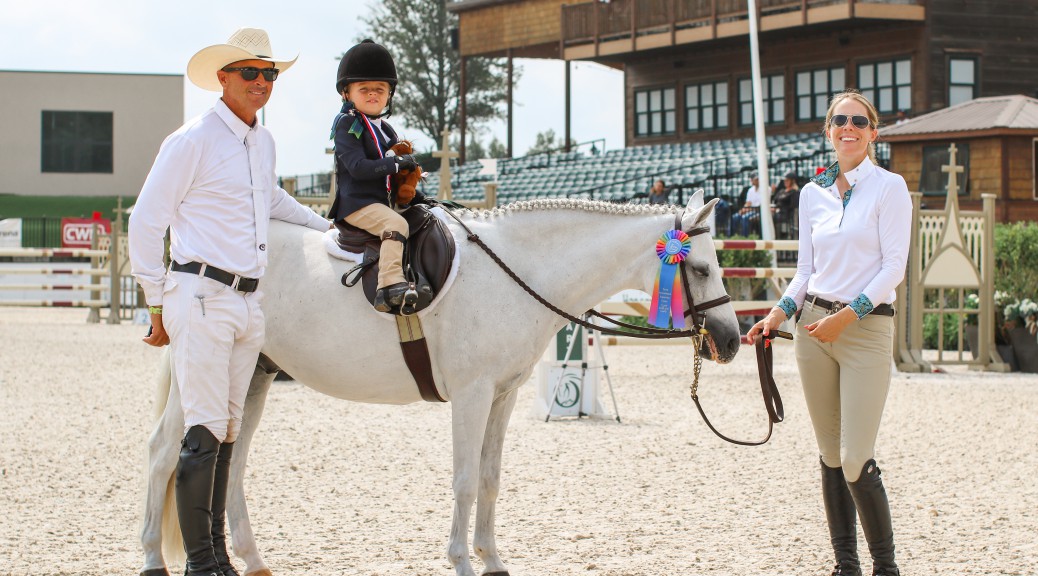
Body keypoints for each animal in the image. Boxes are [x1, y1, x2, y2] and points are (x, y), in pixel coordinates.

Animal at [142, 194, 743, 576]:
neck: (517, 270)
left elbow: (491, 479)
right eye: (703, 269)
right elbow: (465, 481)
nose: (731, 341)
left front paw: (493, 561)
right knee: (166, 454)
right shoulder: (472, 395)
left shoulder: (503, 395)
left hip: (255, 375)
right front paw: (460, 561)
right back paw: (153, 559)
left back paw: (251, 559)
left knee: (232, 459)